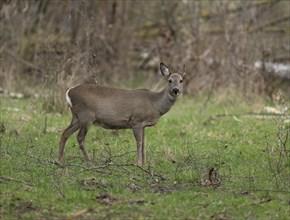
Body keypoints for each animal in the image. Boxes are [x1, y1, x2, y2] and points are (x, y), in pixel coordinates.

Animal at [58, 62, 186, 165]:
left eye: (181, 80)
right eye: (169, 80)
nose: (176, 90)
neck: (155, 104)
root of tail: (68, 92)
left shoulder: (143, 125)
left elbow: (144, 143)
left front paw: (145, 163)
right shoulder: (136, 120)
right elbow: (139, 142)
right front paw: (138, 163)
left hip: (76, 117)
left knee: (65, 133)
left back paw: (59, 160)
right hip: (86, 115)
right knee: (79, 137)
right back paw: (90, 163)